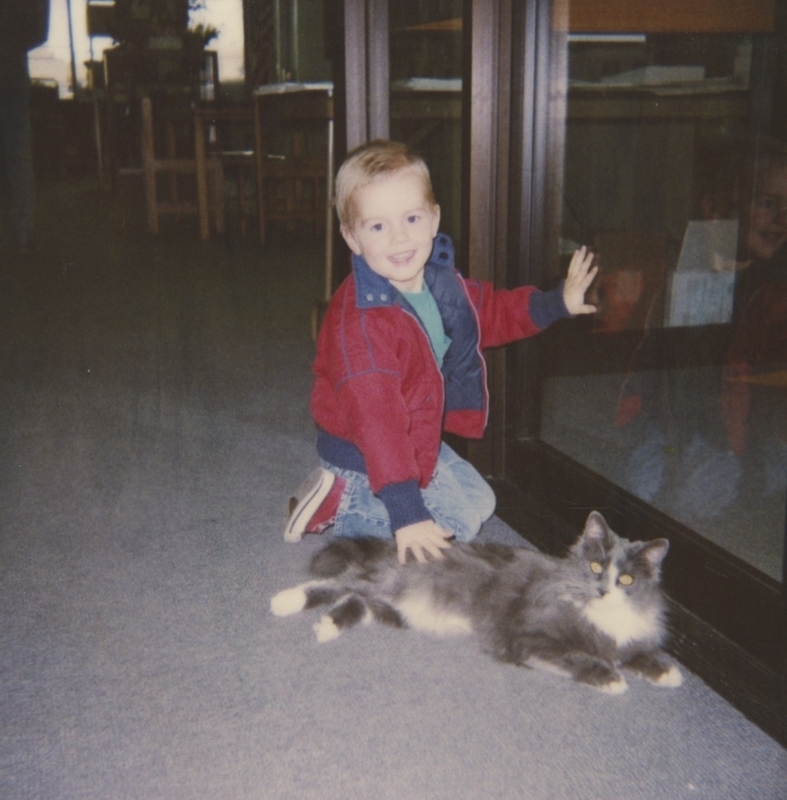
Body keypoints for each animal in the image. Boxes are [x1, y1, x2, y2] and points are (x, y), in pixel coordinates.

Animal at [270, 512, 684, 692]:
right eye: (596, 566)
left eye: (627, 579)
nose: (603, 591)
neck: (599, 616)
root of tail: (395, 546)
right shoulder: (532, 639)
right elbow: (578, 658)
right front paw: (610, 678)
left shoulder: (625, 637)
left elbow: (636, 653)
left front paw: (666, 671)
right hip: (389, 583)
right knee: (339, 582)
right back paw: (285, 600)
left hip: (399, 608)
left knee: (358, 598)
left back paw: (328, 625)